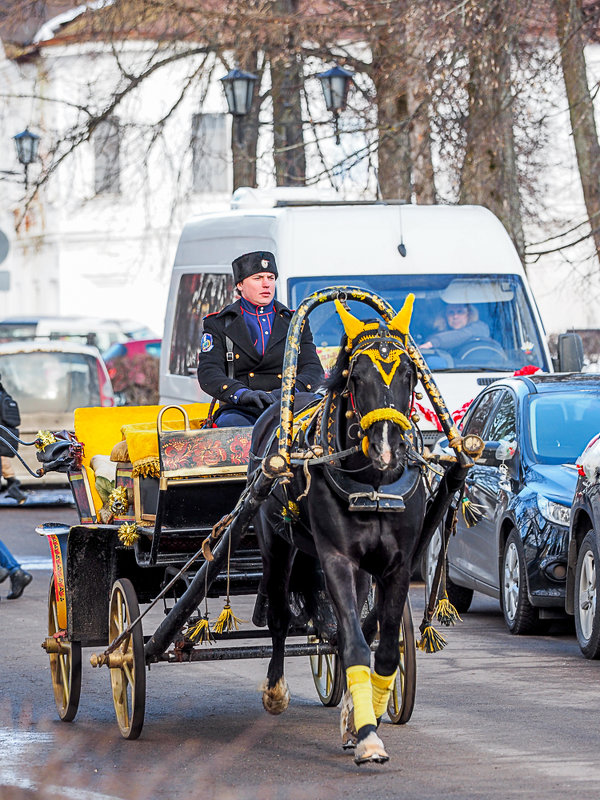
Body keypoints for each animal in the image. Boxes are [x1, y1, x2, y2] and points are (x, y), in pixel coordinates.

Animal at [248, 296, 464, 764]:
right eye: (356, 375)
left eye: (410, 374)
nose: (387, 447)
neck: (375, 485)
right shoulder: (337, 559)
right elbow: (353, 643)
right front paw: (366, 734)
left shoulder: (396, 565)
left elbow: (382, 647)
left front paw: (360, 719)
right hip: (277, 545)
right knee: (279, 615)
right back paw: (275, 689)